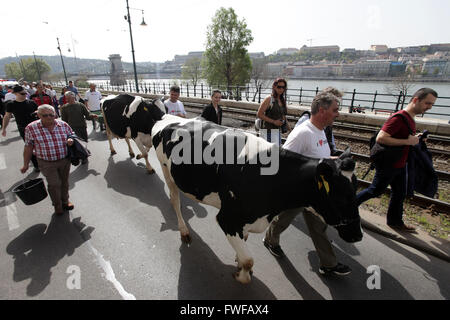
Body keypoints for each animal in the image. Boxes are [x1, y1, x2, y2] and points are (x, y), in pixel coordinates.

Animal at [153, 114, 364, 282]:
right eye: (340, 198)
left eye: (355, 191)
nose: (358, 235)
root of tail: (170, 118)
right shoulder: (228, 219)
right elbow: (249, 260)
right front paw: (241, 274)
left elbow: (245, 245)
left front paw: (238, 261)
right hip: (167, 171)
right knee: (175, 200)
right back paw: (184, 231)